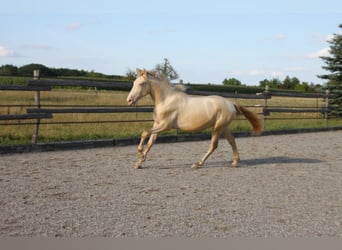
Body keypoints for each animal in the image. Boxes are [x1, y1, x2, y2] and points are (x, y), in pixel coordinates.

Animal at [125, 69, 262, 170]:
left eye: (141, 84)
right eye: (133, 83)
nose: (129, 100)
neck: (166, 100)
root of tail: (231, 103)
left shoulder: (165, 126)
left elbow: (144, 133)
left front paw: (140, 153)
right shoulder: (157, 125)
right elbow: (150, 143)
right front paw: (139, 163)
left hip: (217, 128)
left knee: (214, 145)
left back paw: (197, 164)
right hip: (223, 127)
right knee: (232, 141)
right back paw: (235, 162)